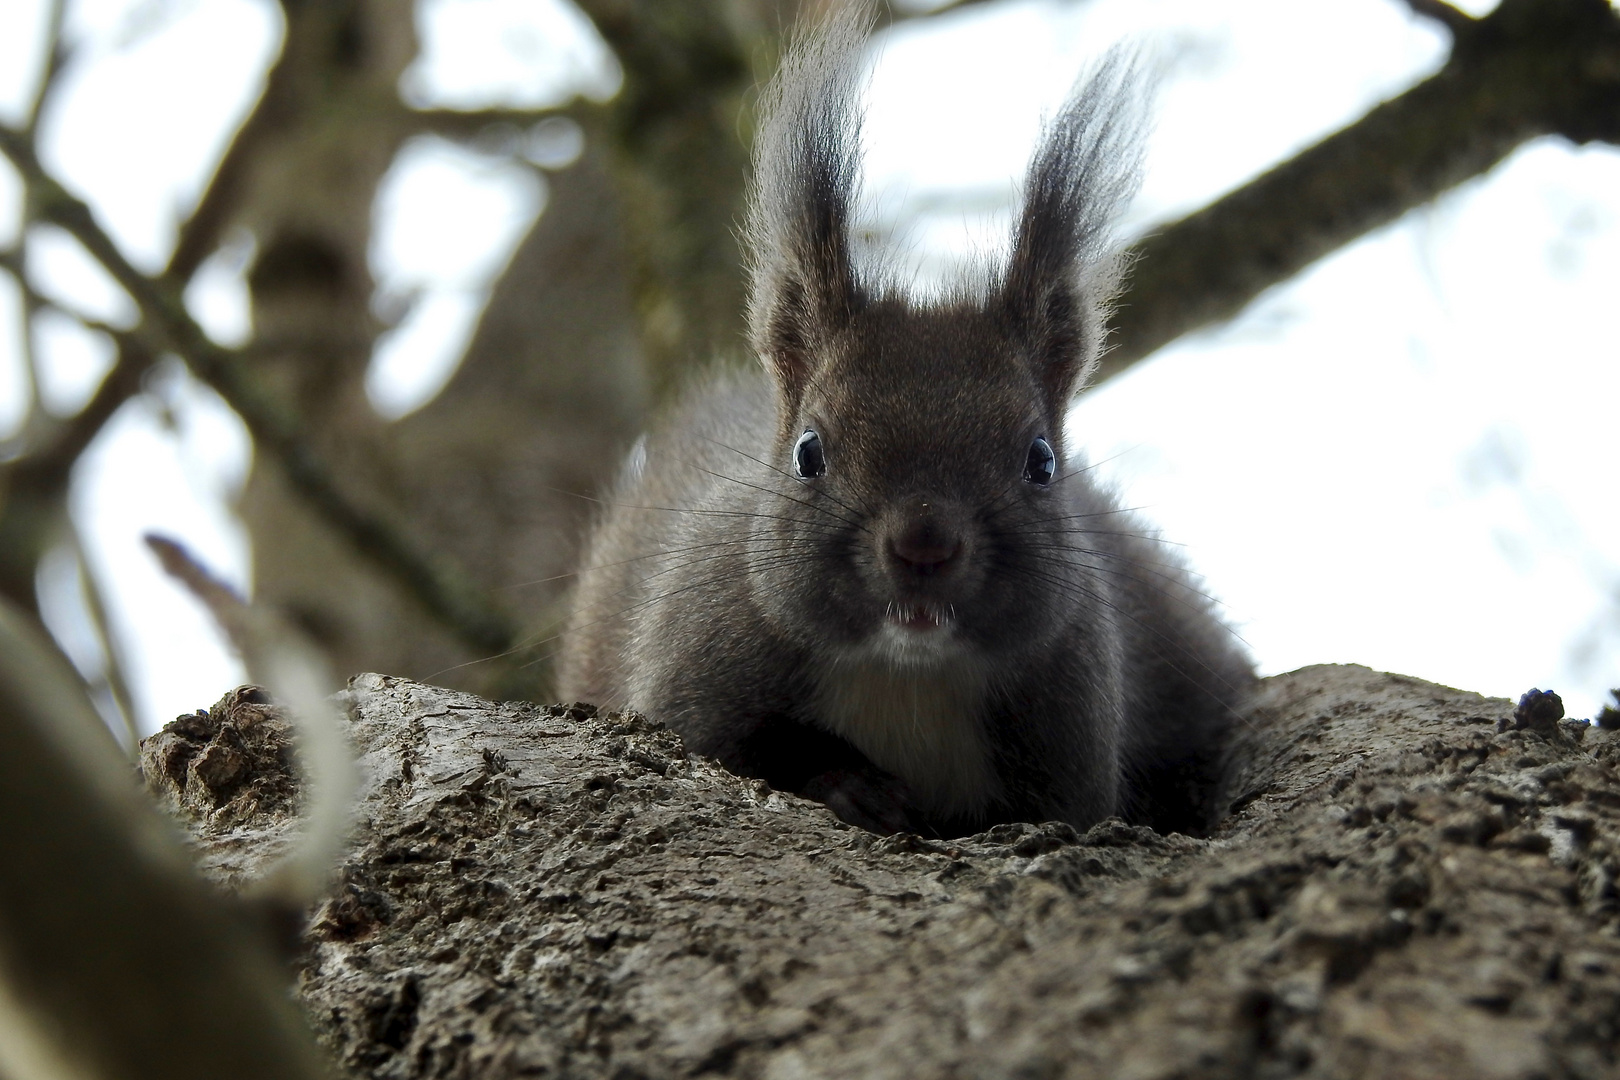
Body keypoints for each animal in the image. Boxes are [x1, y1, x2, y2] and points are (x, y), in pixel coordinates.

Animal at [557, 0, 1250, 835]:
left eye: (1042, 461)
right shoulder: (696, 670)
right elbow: (738, 749)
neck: (906, 672)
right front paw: (852, 783)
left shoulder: (1069, 725)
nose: (924, 544)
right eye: (808, 452)